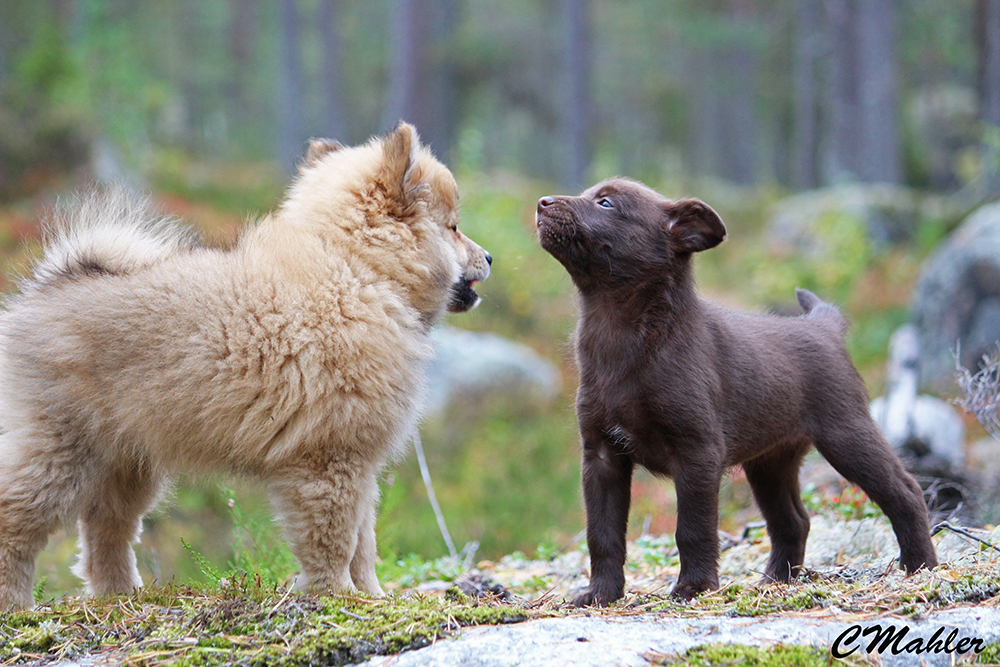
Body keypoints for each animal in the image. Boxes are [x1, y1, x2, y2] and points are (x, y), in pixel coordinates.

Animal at [0, 123, 491, 610]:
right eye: (453, 227)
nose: (488, 257)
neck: (357, 270)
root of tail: (49, 286)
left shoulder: (359, 463)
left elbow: (363, 542)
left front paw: (370, 597)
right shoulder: (328, 459)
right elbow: (335, 541)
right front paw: (337, 595)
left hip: (126, 462)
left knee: (107, 531)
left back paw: (123, 597)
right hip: (61, 450)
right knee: (16, 521)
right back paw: (17, 605)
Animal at [535, 177, 937, 606]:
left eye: (606, 203)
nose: (542, 203)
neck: (625, 333)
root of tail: (823, 327)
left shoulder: (697, 451)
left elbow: (692, 528)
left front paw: (694, 588)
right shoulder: (601, 454)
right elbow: (603, 533)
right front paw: (601, 593)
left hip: (847, 433)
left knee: (906, 491)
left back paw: (921, 566)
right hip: (770, 461)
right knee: (794, 521)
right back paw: (776, 581)